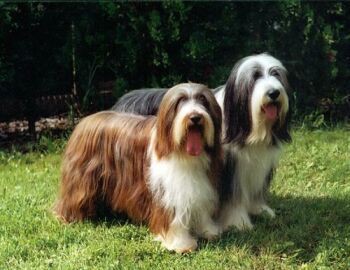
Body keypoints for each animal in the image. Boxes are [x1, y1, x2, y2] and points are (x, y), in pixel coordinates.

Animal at [55, 82, 224, 253]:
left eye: (203, 100)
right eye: (180, 101)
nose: (195, 117)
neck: (183, 153)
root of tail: (86, 119)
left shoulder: (199, 185)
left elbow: (201, 208)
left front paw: (208, 231)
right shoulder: (166, 192)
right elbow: (173, 218)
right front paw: (181, 244)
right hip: (82, 181)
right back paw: (68, 216)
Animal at [111, 53, 290, 231]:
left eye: (276, 74)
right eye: (255, 76)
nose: (274, 93)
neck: (246, 126)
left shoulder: (257, 166)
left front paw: (260, 209)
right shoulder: (228, 171)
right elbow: (233, 198)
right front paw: (239, 221)